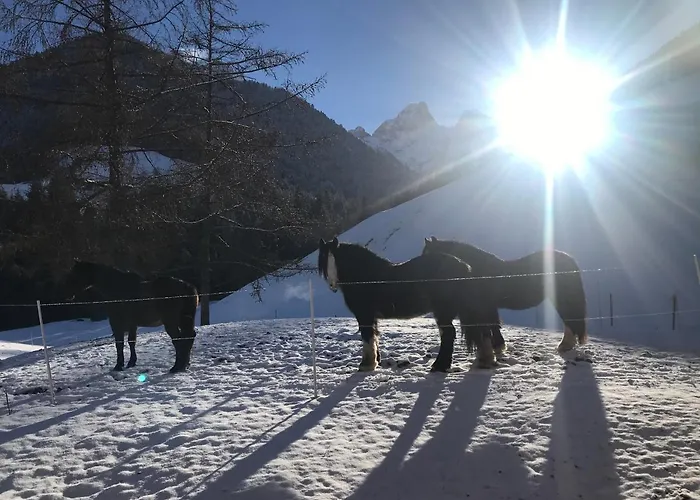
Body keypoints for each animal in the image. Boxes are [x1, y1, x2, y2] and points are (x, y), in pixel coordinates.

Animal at [64, 259, 200, 373]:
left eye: (73, 275)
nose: (67, 295)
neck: (117, 289)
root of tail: (187, 286)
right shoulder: (132, 325)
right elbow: (131, 342)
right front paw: (131, 362)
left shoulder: (116, 323)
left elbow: (119, 344)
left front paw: (119, 365)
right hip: (183, 320)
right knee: (189, 337)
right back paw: (184, 364)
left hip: (171, 322)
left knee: (179, 340)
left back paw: (177, 366)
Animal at [317, 237, 501, 372]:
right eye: (323, 260)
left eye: (336, 259)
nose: (332, 285)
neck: (367, 277)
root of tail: (464, 266)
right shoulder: (372, 317)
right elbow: (375, 336)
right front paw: (375, 361)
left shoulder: (365, 315)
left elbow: (367, 337)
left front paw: (366, 365)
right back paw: (484, 361)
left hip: (443, 311)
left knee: (449, 334)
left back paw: (439, 366)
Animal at [421, 236, 588, 354]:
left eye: (426, 254)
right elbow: (494, 324)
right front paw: (499, 347)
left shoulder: (486, 306)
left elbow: (493, 324)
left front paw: (498, 347)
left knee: (570, 319)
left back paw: (565, 345)